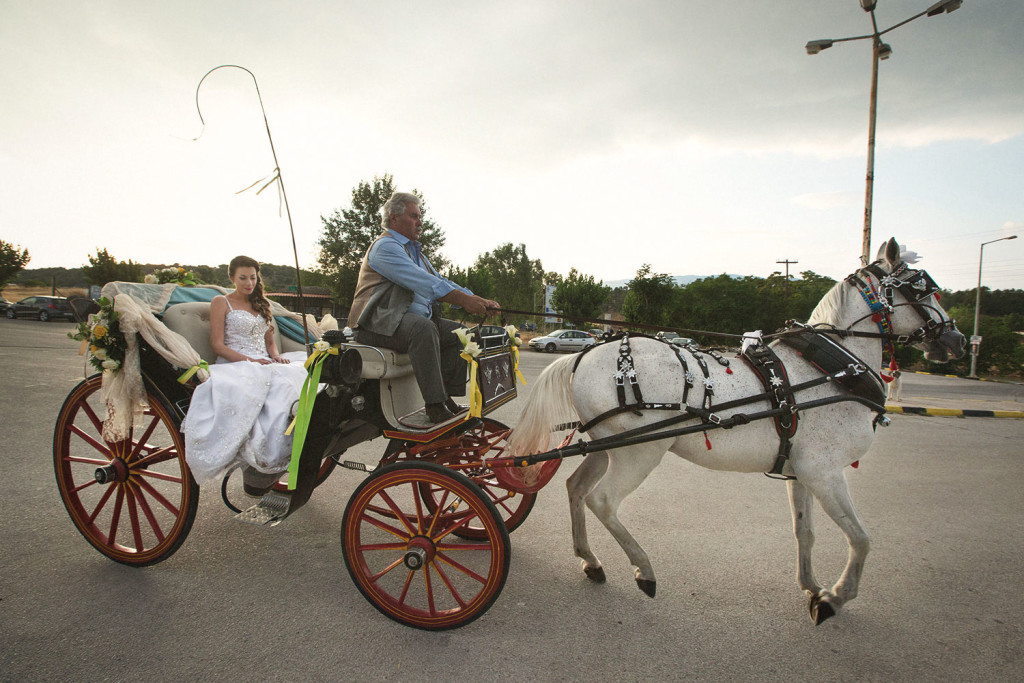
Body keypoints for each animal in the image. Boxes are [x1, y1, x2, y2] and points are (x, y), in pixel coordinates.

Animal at [512, 239, 966, 626]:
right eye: (922, 289)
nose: (958, 340)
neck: (831, 369)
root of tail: (583, 355)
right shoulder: (825, 472)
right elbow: (860, 539)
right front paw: (835, 598)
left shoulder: (803, 472)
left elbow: (805, 532)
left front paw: (812, 586)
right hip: (639, 453)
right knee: (602, 500)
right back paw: (644, 570)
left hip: (608, 446)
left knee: (575, 488)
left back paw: (589, 560)